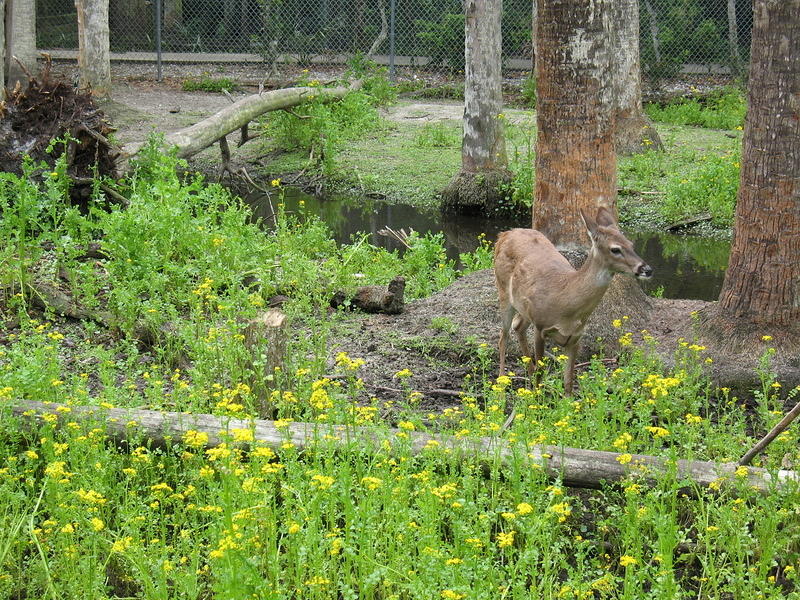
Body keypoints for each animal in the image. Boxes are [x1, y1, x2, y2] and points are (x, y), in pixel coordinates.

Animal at [494, 205, 656, 404]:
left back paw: (528, 378)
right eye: (615, 249)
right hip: (503, 289)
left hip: (524, 307)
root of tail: (505, 233)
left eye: (631, 244)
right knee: (503, 336)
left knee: (518, 326)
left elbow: (569, 382)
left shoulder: (576, 337)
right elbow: (542, 370)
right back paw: (501, 390)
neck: (566, 301)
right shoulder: (540, 326)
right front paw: (538, 403)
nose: (646, 269)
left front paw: (567, 405)